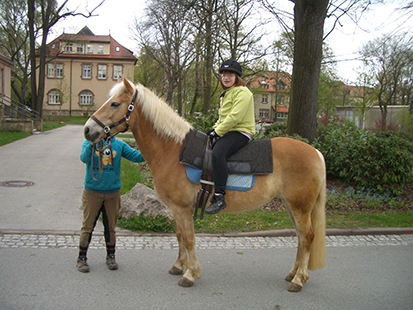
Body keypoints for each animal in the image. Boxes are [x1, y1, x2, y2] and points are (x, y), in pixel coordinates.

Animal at [83, 78, 326, 292]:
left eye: (115, 103)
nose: (87, 129)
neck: (172, 150)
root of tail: (315, 151)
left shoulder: (182, 208)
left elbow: (189, 239)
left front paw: (190, 274)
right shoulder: (175, 209)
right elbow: (180, 236)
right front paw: (179, 266)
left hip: (299, 206)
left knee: (307, 237)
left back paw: (298, 280)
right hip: (292, 206)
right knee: (300, 237)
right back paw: (293, 274)